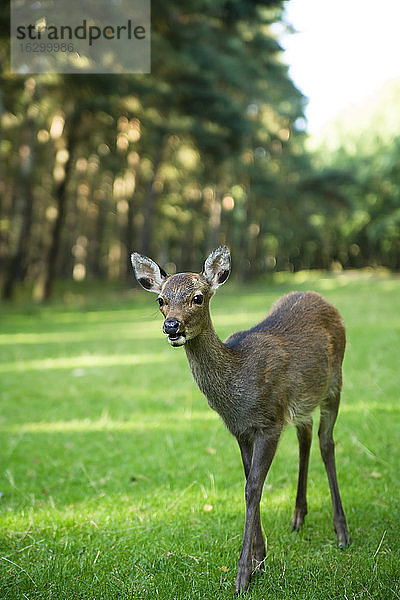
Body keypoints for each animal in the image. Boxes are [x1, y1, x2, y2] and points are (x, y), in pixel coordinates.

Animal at [131, 246, 350, 592]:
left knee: (326, 442)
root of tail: (322, 298)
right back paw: (298, 516)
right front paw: (260, 559)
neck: (236, 392)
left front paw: (244, 575)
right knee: (305, 435)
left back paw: (341, 531)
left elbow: (253, 488)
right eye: (161, 300)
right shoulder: (240, 430)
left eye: (197, 297)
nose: (172, 326)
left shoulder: (270, 421)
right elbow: (249, 482)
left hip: (335, 382)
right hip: (302, 401)